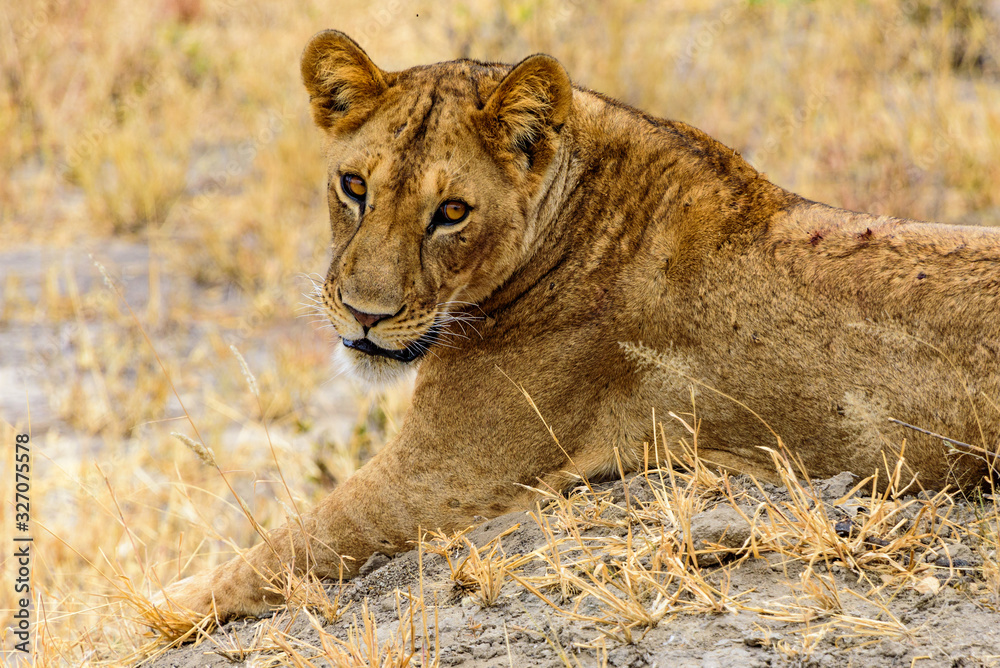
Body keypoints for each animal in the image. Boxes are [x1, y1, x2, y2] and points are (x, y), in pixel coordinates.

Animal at [158, 30, 999, 622]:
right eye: (354, 186)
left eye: (451, 212)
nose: (366, 316)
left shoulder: (439, 483)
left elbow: (279, 550)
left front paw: (154, 609)